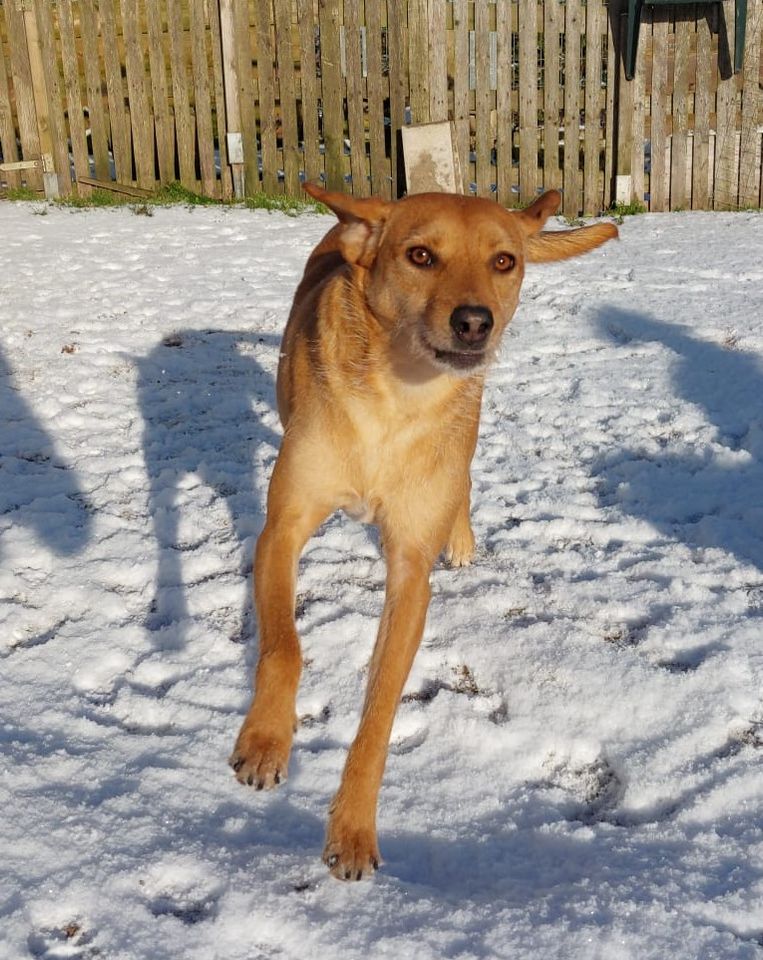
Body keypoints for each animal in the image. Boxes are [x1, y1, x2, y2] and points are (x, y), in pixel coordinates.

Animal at [230, 184, 616, 880]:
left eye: (503, 261)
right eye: (419, 255)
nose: (474, 322)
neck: (395, 401)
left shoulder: (410, 571)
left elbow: (381, 707)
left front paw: (354, 824)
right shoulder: (281, 532)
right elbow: (284, 645)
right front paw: (267, 737)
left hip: (471, 416)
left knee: (464, 471)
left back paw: (461, 536)